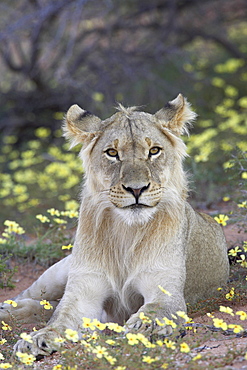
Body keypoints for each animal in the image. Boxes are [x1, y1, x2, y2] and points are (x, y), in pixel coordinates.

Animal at [0, 94, 229, 356]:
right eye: (112, 153)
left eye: (154, 151)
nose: (137, 189)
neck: (126, 232)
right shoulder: (83, 291)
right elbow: (59, 320)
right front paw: (36, 339)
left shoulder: (166, 288)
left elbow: (155, 311)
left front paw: (142, 328)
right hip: (56, 274)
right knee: (35, 299)